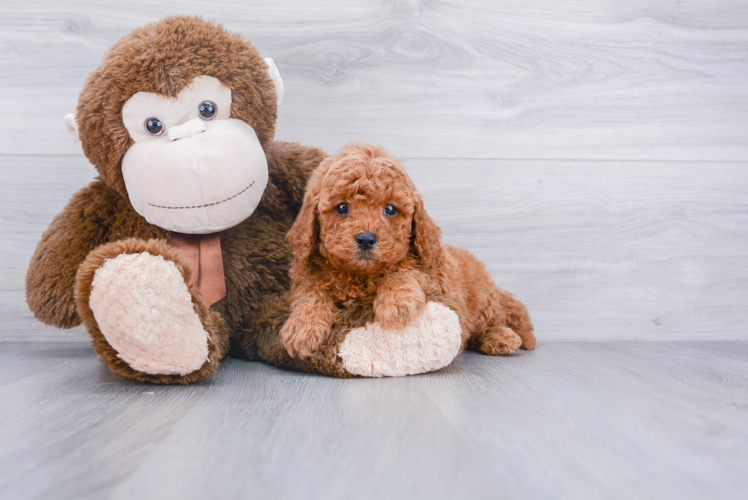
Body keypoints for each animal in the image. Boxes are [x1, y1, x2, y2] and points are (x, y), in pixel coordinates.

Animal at [278, 144, 536, 360]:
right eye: (342, 207)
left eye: (390, 209)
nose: (366, 239)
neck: (361, 275)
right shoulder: (305, 273)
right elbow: (311, 292)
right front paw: (302, 328)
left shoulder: (433, 274)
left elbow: (405, 270)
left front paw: (396, 304)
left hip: (482, 301)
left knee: (491, 321)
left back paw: (501, 337)